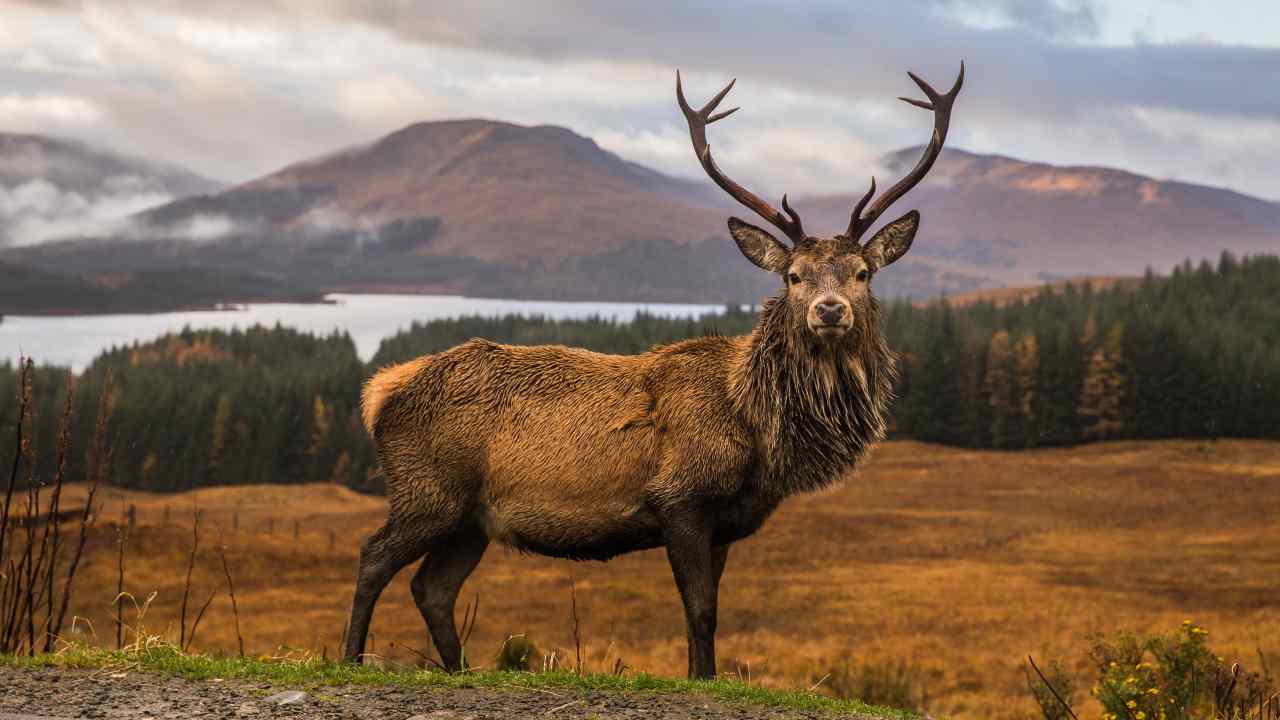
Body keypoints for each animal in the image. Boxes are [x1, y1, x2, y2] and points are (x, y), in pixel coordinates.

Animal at [345, 63, 962, 676]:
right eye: (793, 276)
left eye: (862, 273)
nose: (828, 310)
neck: (757, 429)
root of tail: (379, 392)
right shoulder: (678, 498)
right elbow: (700, 612)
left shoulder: (725, 523)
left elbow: (708, 614)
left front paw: (703, 675)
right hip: (429, 490)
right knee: (374, 557)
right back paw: (352, 657)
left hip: (471, 520)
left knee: (432, 589)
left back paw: (459, 669)